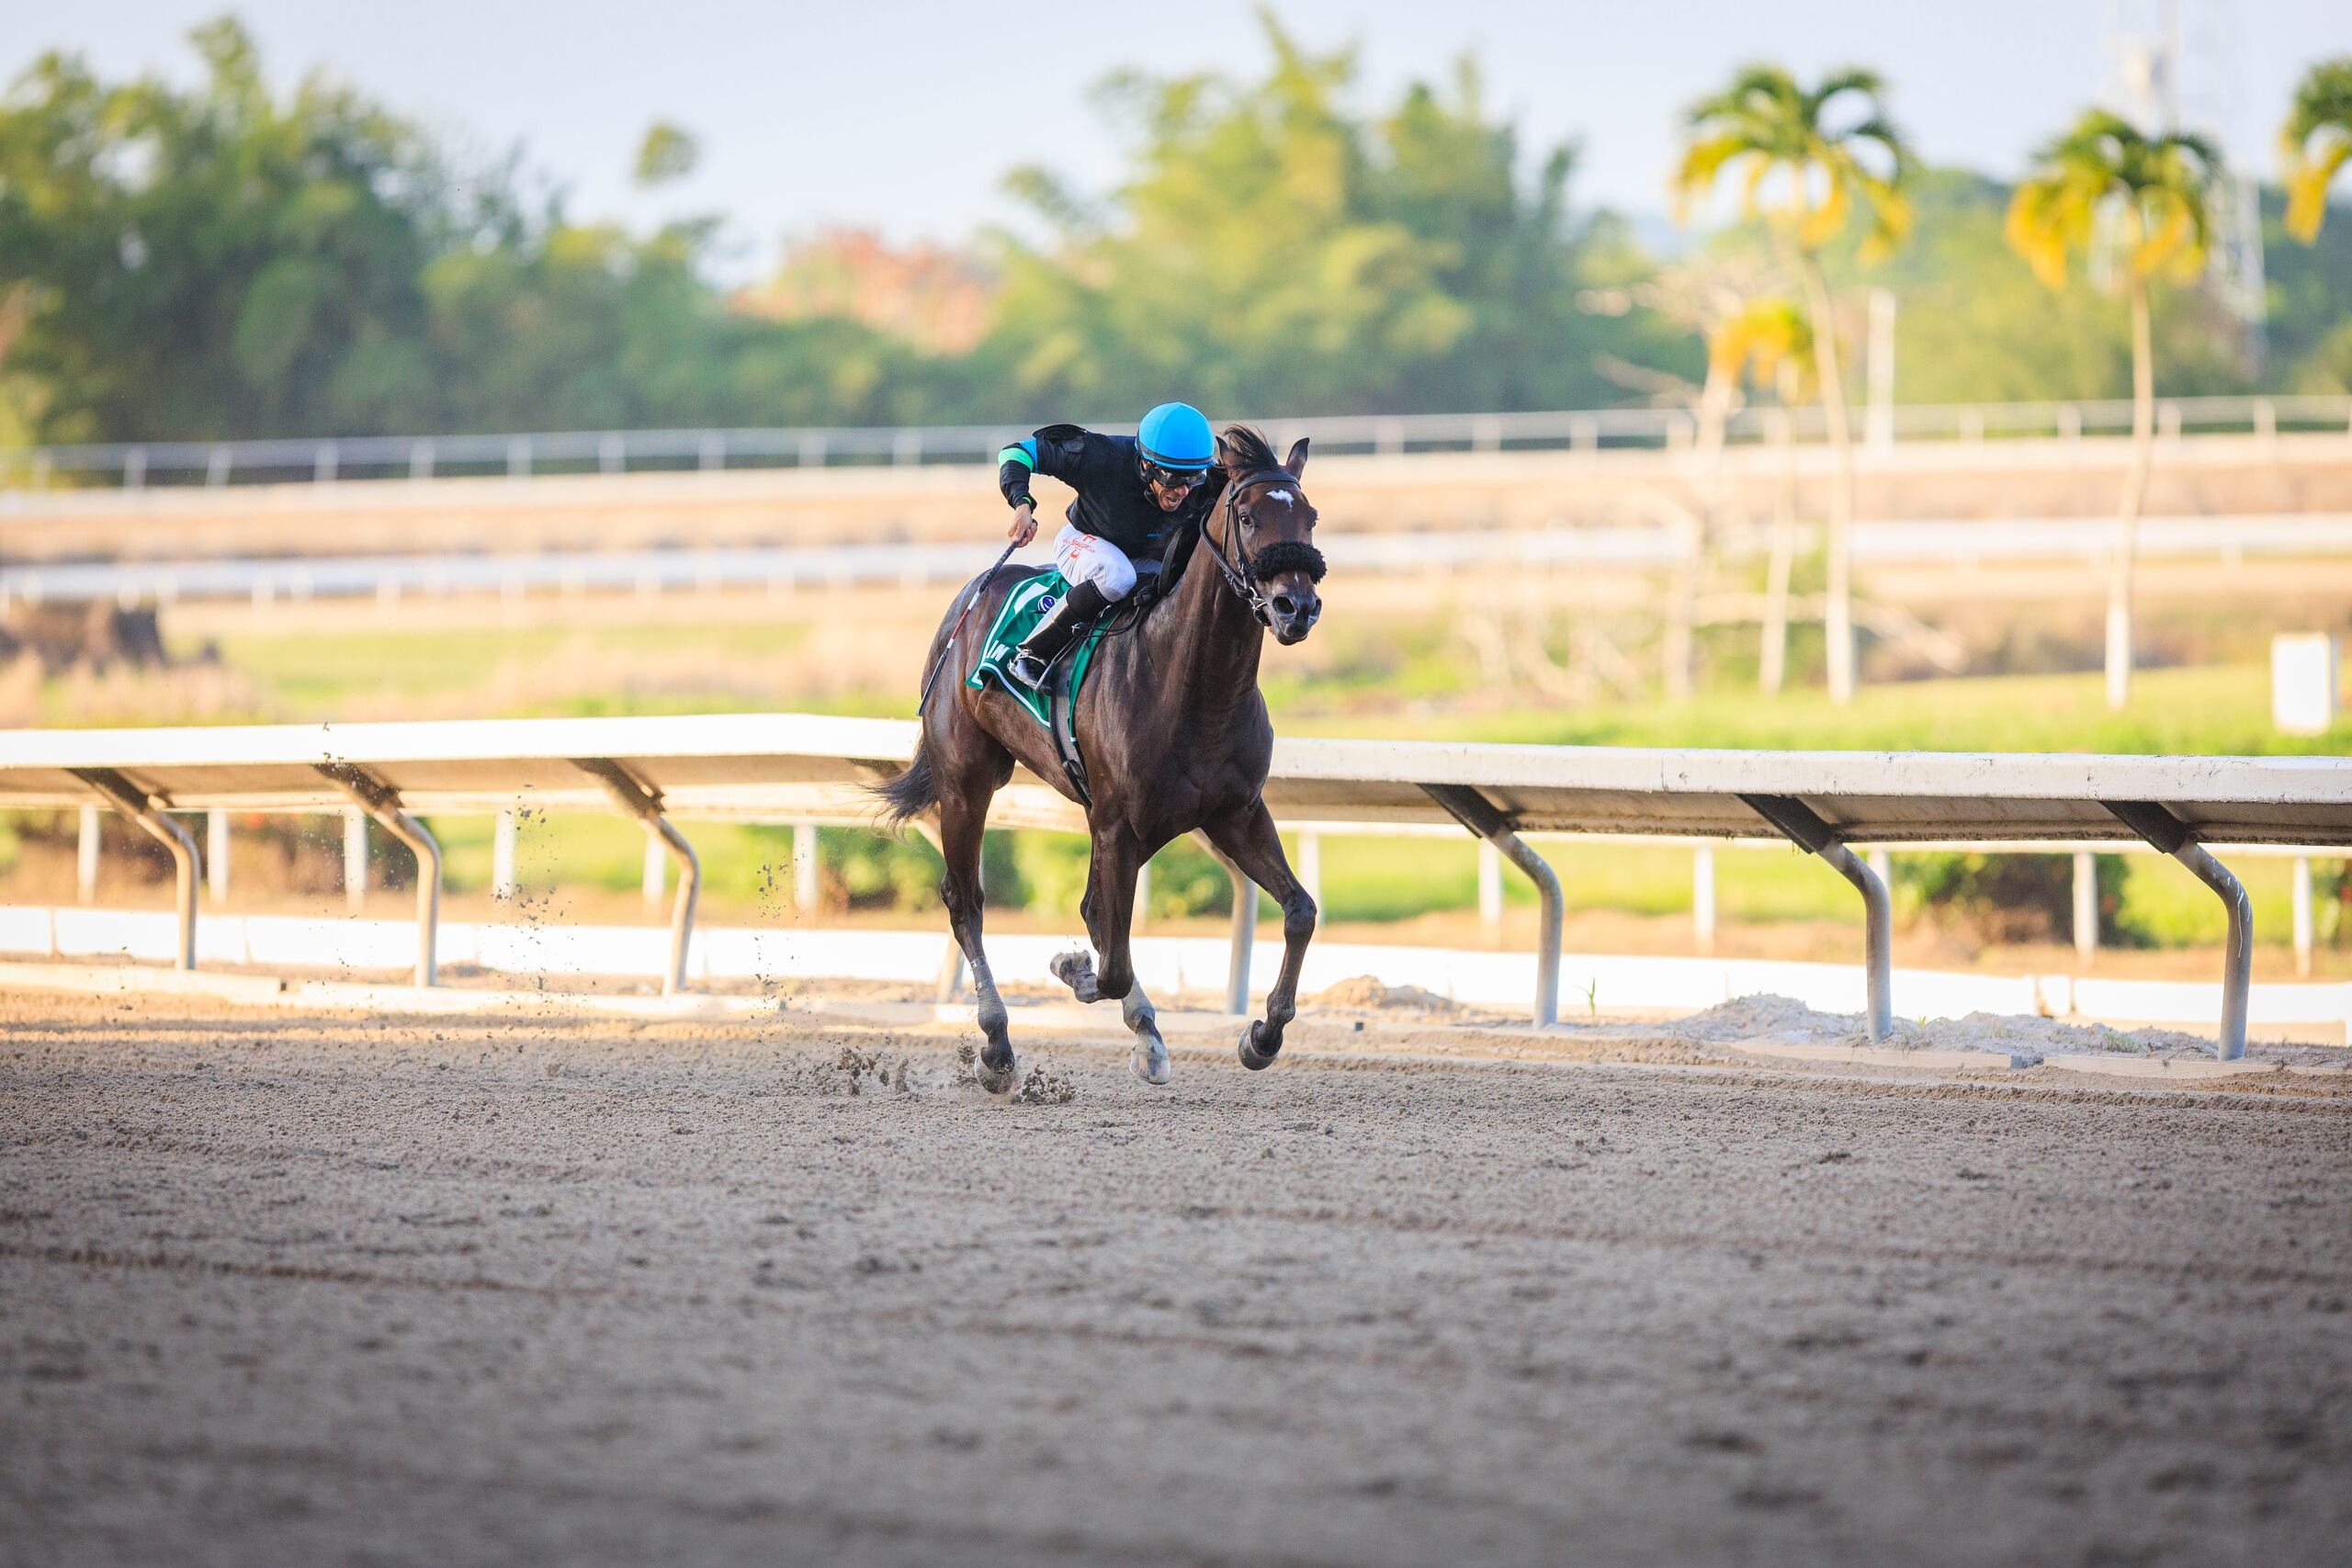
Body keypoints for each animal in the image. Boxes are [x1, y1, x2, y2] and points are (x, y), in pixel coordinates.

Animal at [879, 423, 1326, 1100]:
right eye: (1248, 517)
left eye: (1310, 516)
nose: (1295, 607)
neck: (1195, 687)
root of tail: (971, 596)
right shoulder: (1117, 823)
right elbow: (1111, 962)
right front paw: (1074, 969)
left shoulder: (1235, 812)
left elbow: (1300, 911)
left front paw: (1261, 1035)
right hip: (966, 782)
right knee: (966, 902)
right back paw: (997, 1044)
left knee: (1089, 911)